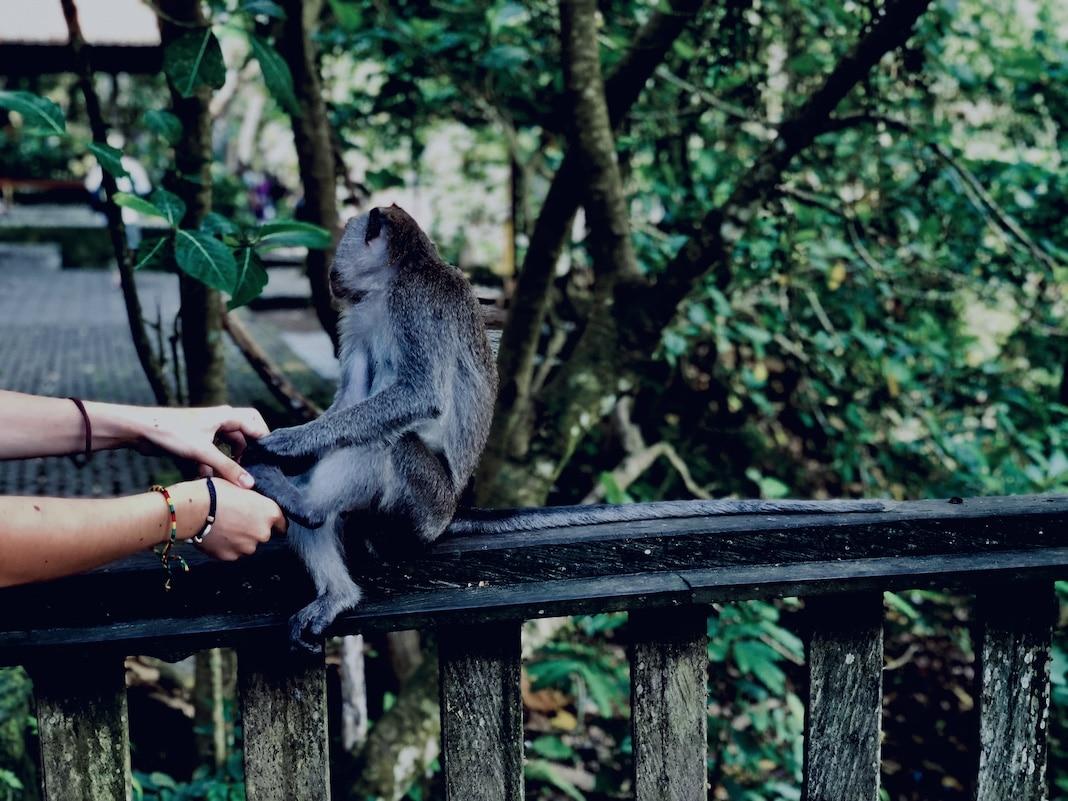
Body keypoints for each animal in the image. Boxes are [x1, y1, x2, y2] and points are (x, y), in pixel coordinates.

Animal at [246, 204, 888, 652]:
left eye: (346, 239)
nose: (331, 274)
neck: (391, 282)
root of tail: (453, 513)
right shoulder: (358, 318)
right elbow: (352, 401)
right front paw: (292, 440)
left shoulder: (412, 302)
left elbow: (417, 397)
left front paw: (286, 441)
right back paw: (331, 575)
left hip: (420, 509)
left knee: (393, 445)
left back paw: (300, 500)